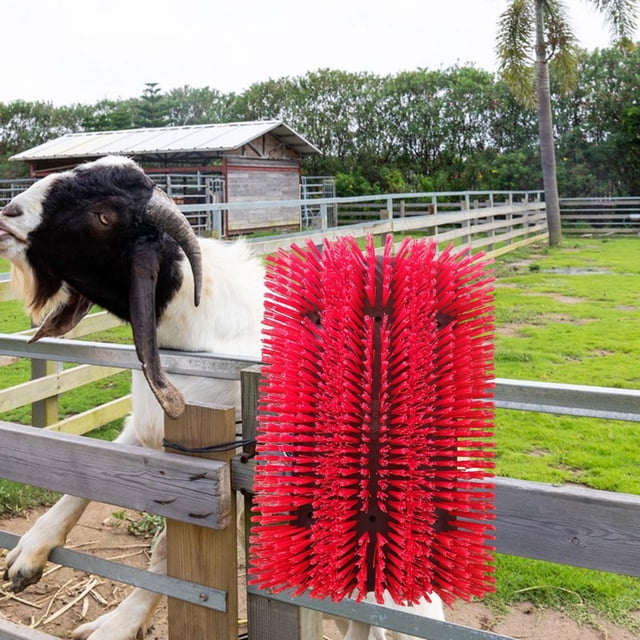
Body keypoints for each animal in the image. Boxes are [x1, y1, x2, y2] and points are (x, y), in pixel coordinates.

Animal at [0, 155, 445, 640]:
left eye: (104, 215)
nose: (9, 214)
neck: (203, 337)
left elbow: (168, 554)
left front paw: (116, 627)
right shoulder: (147, 430)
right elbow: (89, 487)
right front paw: (29, 554)